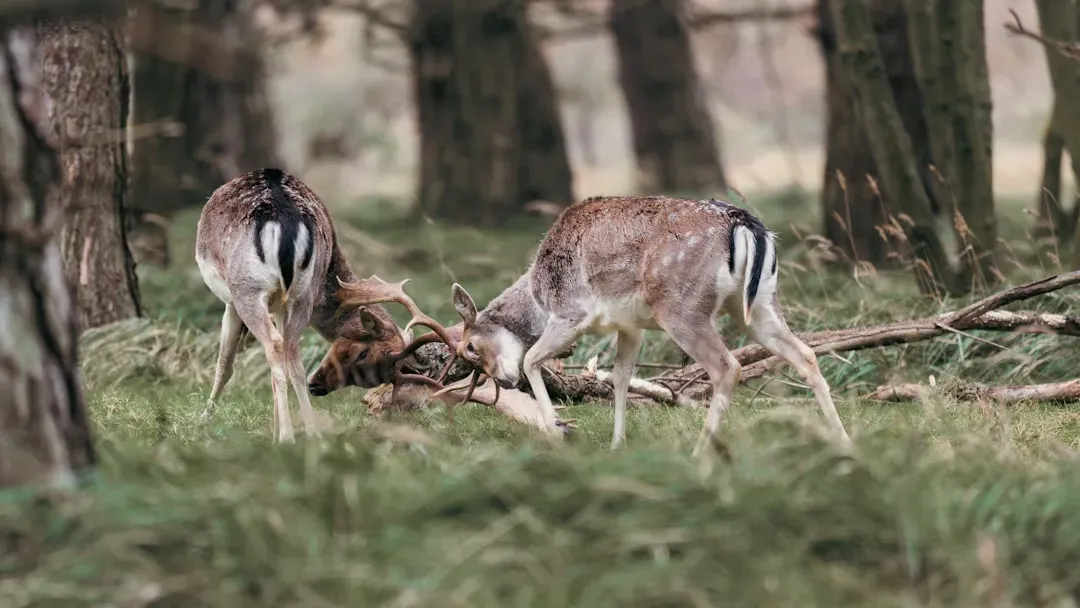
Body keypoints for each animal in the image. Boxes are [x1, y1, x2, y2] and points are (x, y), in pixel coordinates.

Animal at [195, 168, 459, 441]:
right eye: (366, 355)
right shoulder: (281, 304)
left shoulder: (232, 301)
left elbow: (225, 362)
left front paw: (203, 422)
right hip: (302, 294)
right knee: (291, 352)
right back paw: (309, 431)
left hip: (246, 288)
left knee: (276, 347)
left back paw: (288, 436)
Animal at [433, 195, 853, 454]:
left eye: (470, 347)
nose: (503, 382)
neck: (538, 297)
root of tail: (747, 224)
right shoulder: (629, 326)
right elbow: (620, 377)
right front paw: (617, 443)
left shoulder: (572, 312)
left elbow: (532, 358)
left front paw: (558, 430)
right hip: (759, 303)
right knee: (805, 353)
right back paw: (842, 439)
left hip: (682, 308)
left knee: (727, 366)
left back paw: (701, 452)